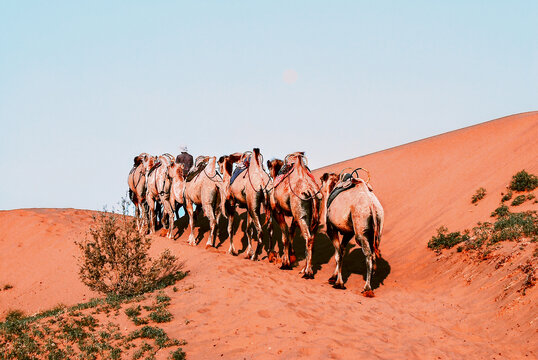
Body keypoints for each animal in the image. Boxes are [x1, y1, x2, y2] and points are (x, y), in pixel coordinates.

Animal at [266, 150, 320, 278]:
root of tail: (311, 190)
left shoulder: (277, 212)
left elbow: (285, 235)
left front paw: (285, 263)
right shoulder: (294, 215)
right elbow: (291, 232)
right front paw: (291, 257)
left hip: (300, 214)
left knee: (308, 237)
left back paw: (307, 272)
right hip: (312, 215)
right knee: (312, 238)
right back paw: (305, 269)